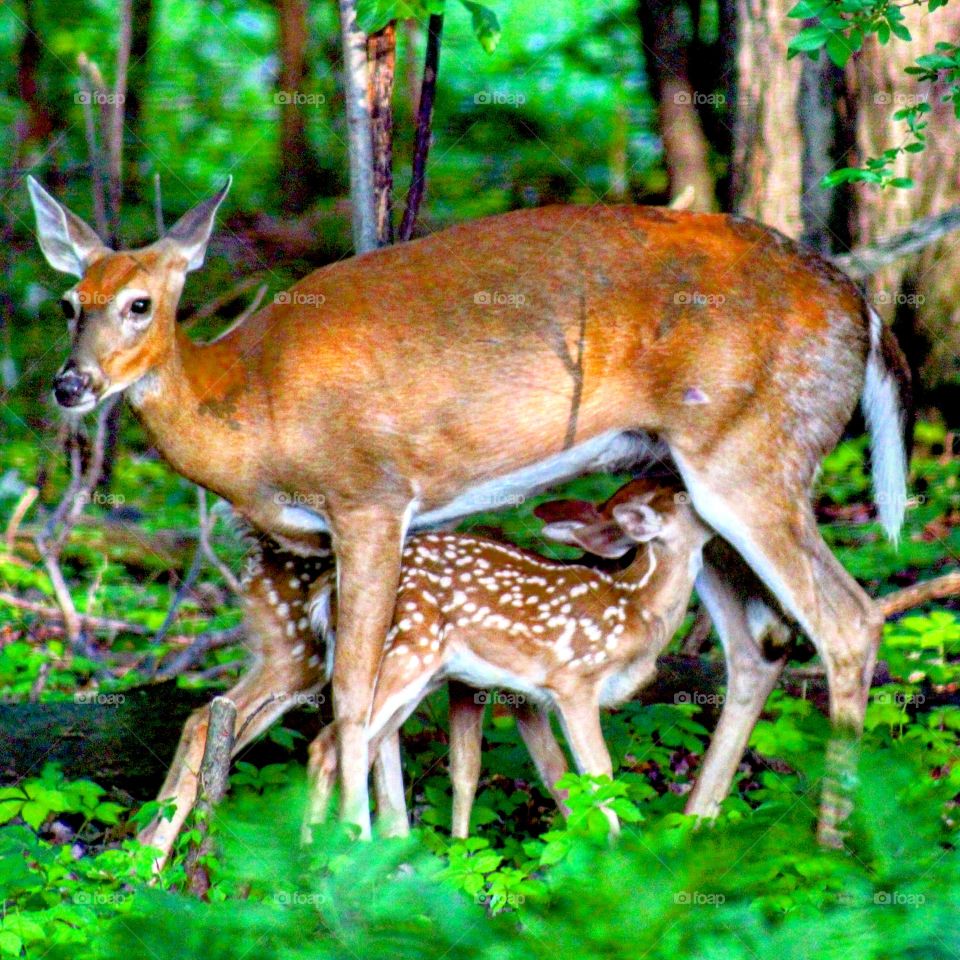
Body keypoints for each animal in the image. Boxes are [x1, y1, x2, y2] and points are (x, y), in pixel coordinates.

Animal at [24, 176, 908, 844]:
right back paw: (692, 832)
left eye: (140, 304)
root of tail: (863, 309)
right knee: (759, 645)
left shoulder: (369, 495)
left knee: (848, 621)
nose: (70, 385)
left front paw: (351, 851)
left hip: (750, 454)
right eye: (71, 302)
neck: (247, 410)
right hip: (688, 475)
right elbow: (372, 705)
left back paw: (829, 846)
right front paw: (386, 844)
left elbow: (353, 696)